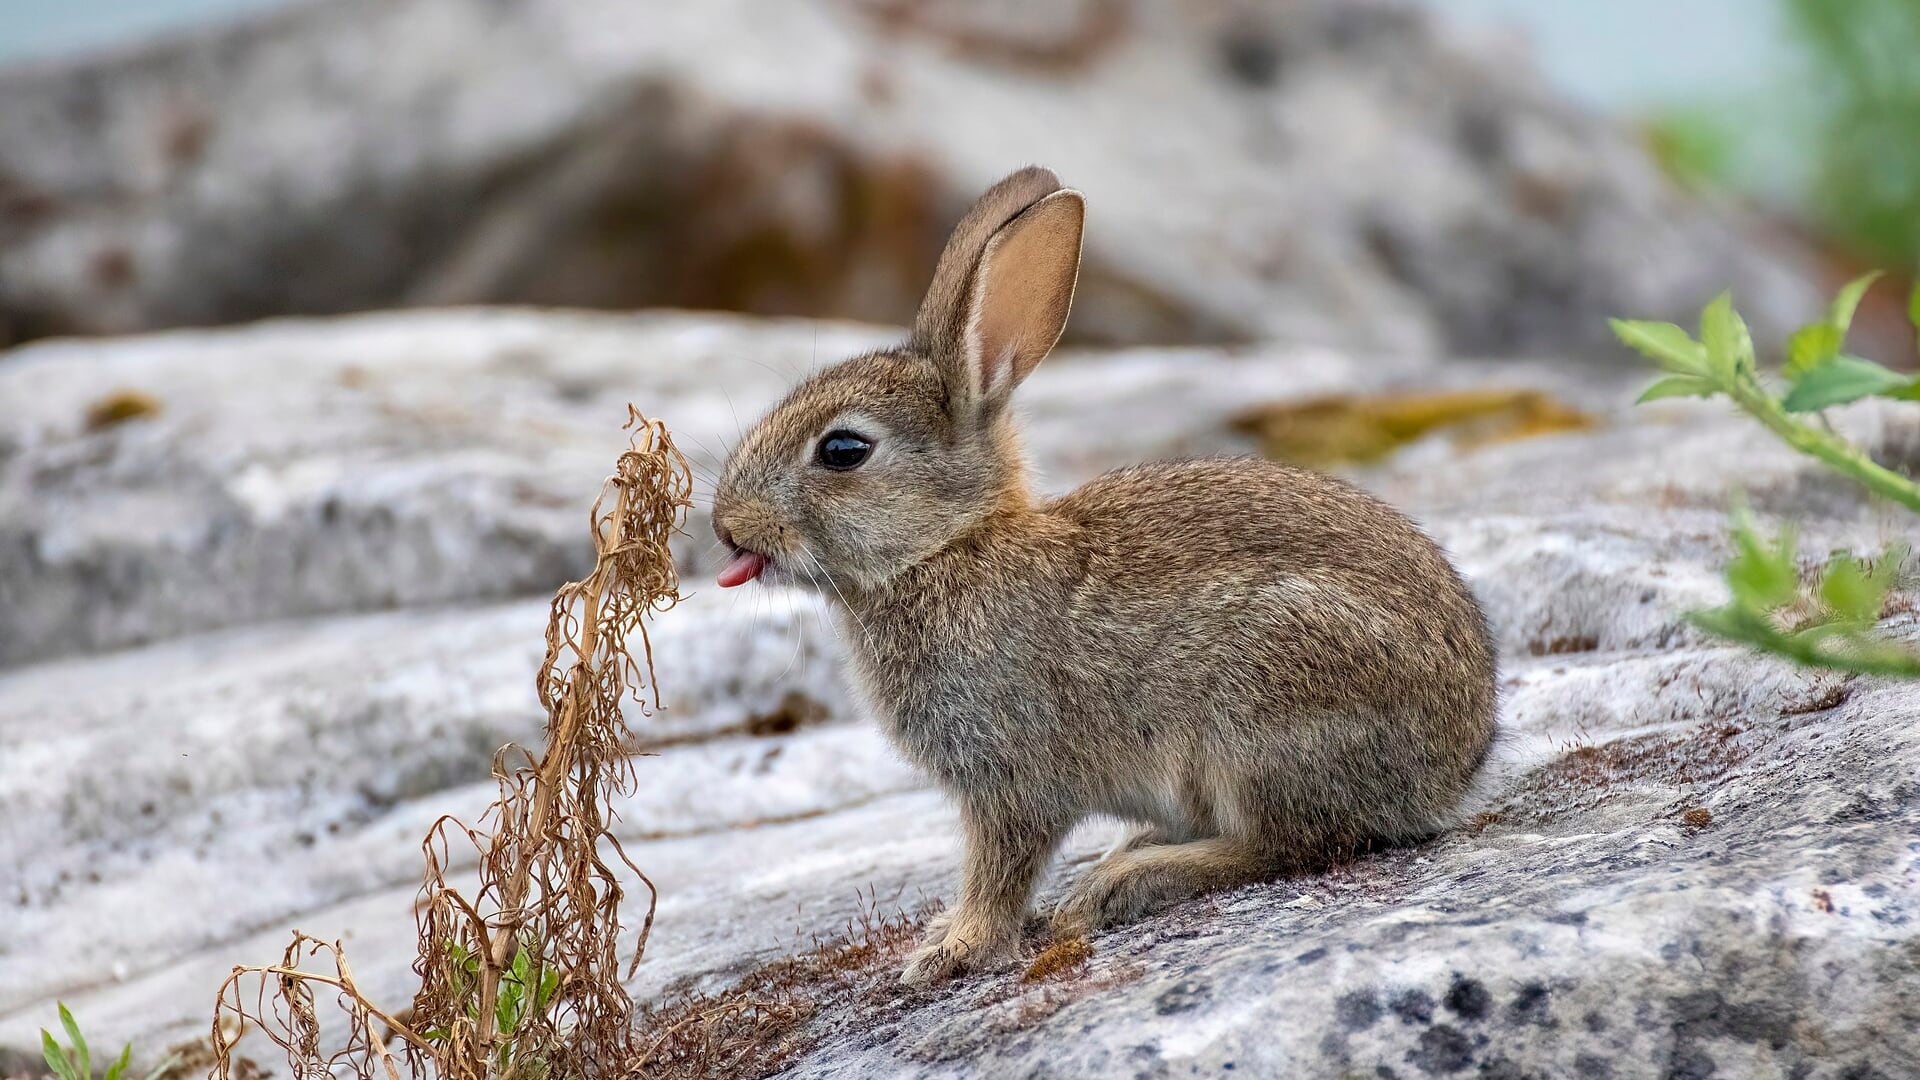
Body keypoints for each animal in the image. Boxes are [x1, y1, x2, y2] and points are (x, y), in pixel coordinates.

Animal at [710, 166, 1498, 988]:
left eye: (842, 451)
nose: (725, 525)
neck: (949, 548)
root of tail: (1453, 771)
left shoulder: (1011, 777)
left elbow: (999, 869)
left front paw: (951, 951)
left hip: (1263, 707)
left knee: (1291, 844)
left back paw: (1125, 881)